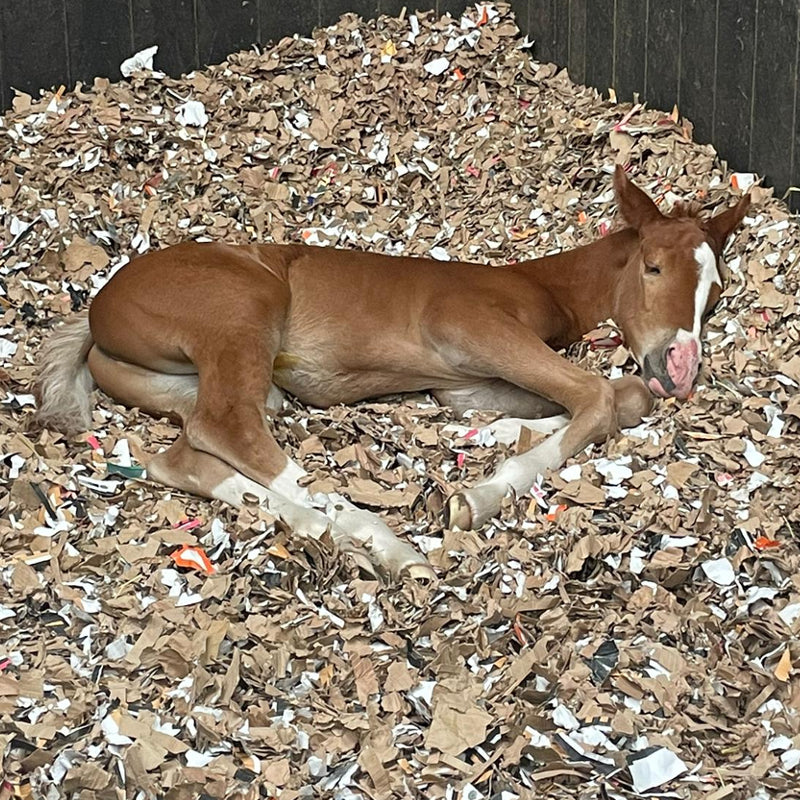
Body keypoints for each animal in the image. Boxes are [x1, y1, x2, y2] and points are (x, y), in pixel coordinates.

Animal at [37, 169, 752, 580]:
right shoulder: (472, 327)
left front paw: (490, 440)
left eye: (715, 291)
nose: (681, 369)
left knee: (187, 455)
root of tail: (97, 313)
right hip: (241, 312)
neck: (537, 283)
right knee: (229, 428)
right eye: (653, 268)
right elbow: (598, 396)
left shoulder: (463, 382)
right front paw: (480, 496)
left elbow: (611, 399)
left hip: (198, 385)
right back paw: (388, 543)